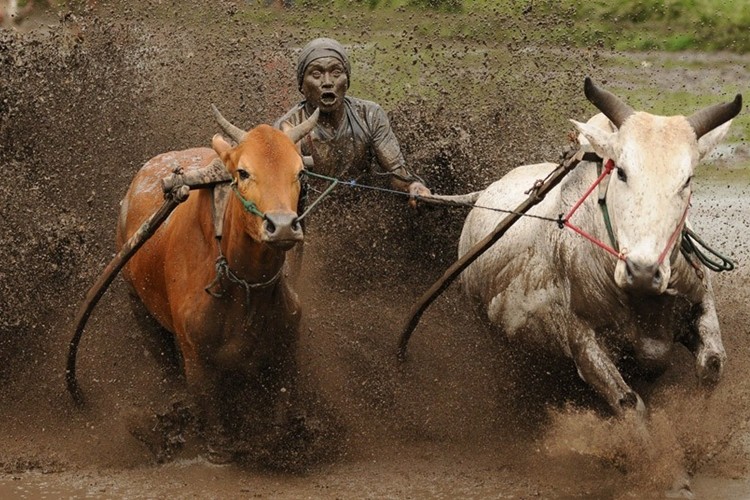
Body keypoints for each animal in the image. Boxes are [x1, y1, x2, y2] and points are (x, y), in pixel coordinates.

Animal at [119, 107, 318, 462]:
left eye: (299, 173)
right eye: (243, 172)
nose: (282, 226)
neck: (243, 286)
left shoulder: (285, 350)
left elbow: (280, 411)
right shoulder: (195, 357)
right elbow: (211, 417)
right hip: (138, 305)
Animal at [462, 78, 744, 420]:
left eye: (687, 179)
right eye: (621, 171)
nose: (643, 271)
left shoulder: (700, 301)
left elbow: (712, 366)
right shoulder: (583, 341)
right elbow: (628, 402)